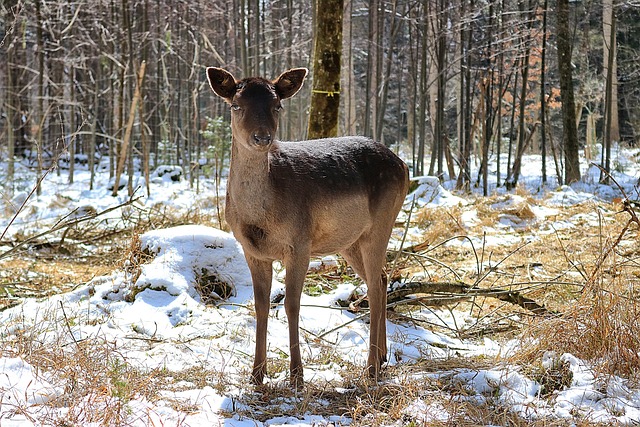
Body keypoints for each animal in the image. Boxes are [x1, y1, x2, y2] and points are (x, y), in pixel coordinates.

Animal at [208, 66, 412, 388]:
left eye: (277, 105)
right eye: (236, 105)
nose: (262, 137)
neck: (260, 219)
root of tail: (404, 166)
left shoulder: (300, 243)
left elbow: (292, 304)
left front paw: (296, 376)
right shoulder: (252, 251)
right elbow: (261, 305)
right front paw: (256, 374)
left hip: (382, 222)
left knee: (376, 285)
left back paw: (371, 369)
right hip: (349, 241)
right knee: (379, 279)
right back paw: (381, 358)